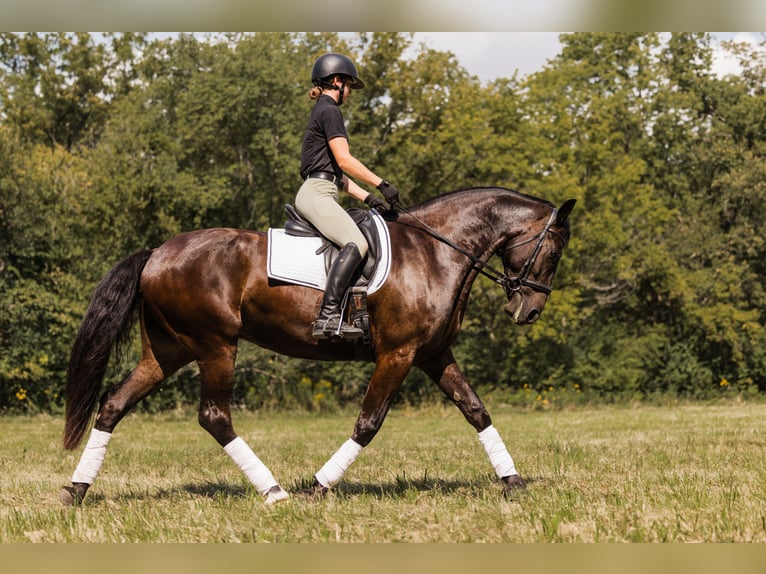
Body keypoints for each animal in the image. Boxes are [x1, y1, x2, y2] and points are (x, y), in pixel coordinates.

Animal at [60, 187, 576, 506]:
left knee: (113, 404)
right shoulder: (398, 354)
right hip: (215, 345)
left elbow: (476, 411)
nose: (529, 310)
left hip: (169, 351)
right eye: (554, 250)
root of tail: (156, 254)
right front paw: (318, 486)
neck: (437, 252)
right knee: (214, 416)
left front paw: (513, 482)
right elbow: (368, 422)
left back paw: (75, 490)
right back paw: (274, 492)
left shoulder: (432, 354)